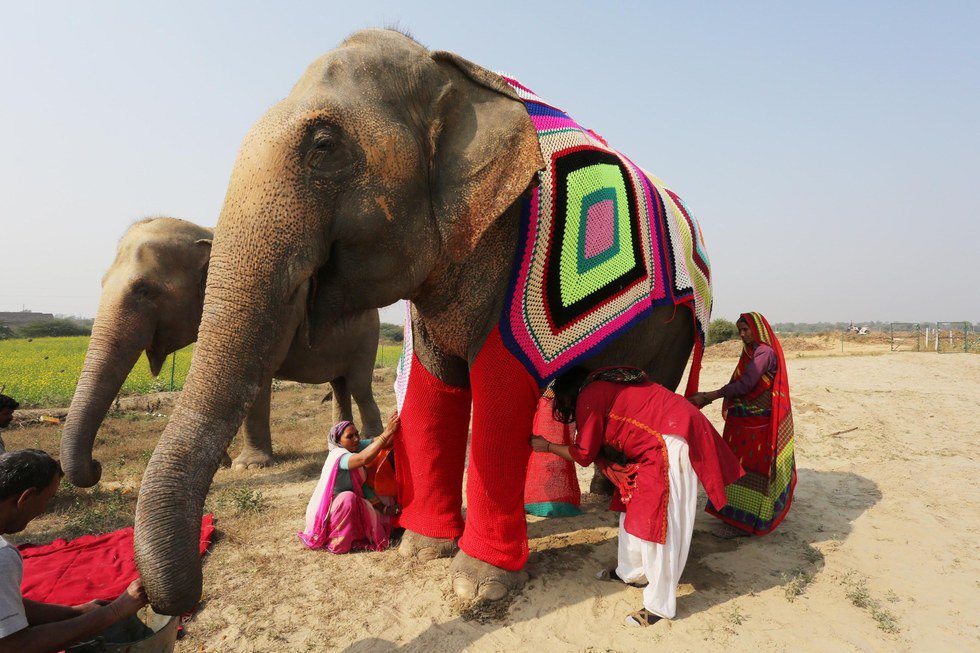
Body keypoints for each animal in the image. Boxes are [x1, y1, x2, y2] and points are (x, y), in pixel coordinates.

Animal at [61, 216, 382, 487]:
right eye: (102, 283)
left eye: (145, 290)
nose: (97, 466)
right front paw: (223, 464)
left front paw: (249, 466)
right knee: (339, 384)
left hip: (369, 336)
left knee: (358, 384)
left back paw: (370, 437)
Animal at [133, 29, 712, 615]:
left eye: (324, 145)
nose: (168, 602)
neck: (449, 75)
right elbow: (436, 384)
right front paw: (423, 549)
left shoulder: (512, 247)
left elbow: (501, 386)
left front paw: (478, 585)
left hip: (679, 328)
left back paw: (613, 502)